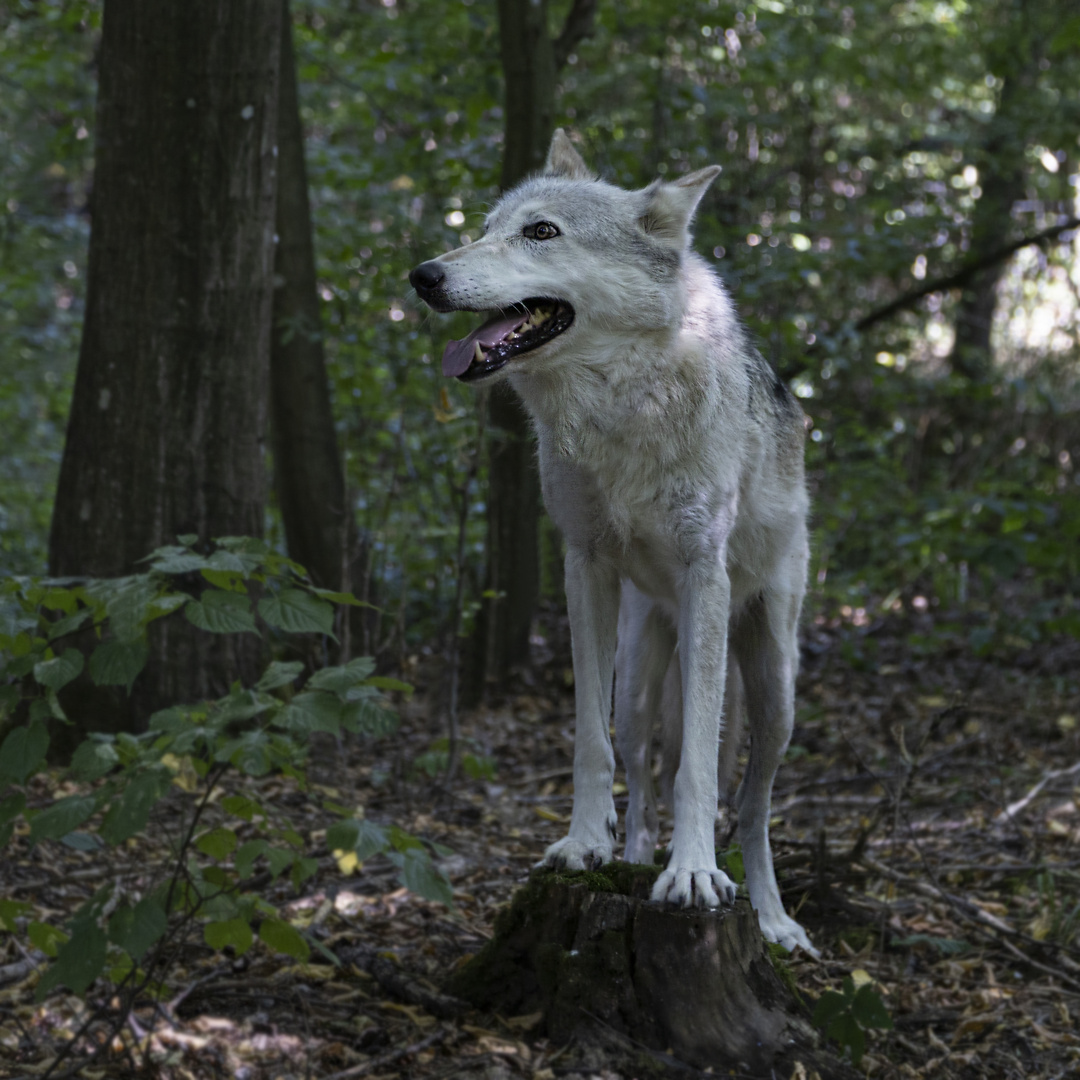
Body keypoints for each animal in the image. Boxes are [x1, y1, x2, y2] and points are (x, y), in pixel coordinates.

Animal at [408, 130, 812, 950]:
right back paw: (631, 859)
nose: (423, 276)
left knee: (752, 808)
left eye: (541, 232)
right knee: (642, 768)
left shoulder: (703, 573)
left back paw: (770, 918)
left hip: (772, 686)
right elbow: (591, 745)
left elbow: (698, 770)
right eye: (487, 227)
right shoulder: (583, 567)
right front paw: (584, 845)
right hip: (639, 667)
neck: (626, 404)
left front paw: (693, 875)